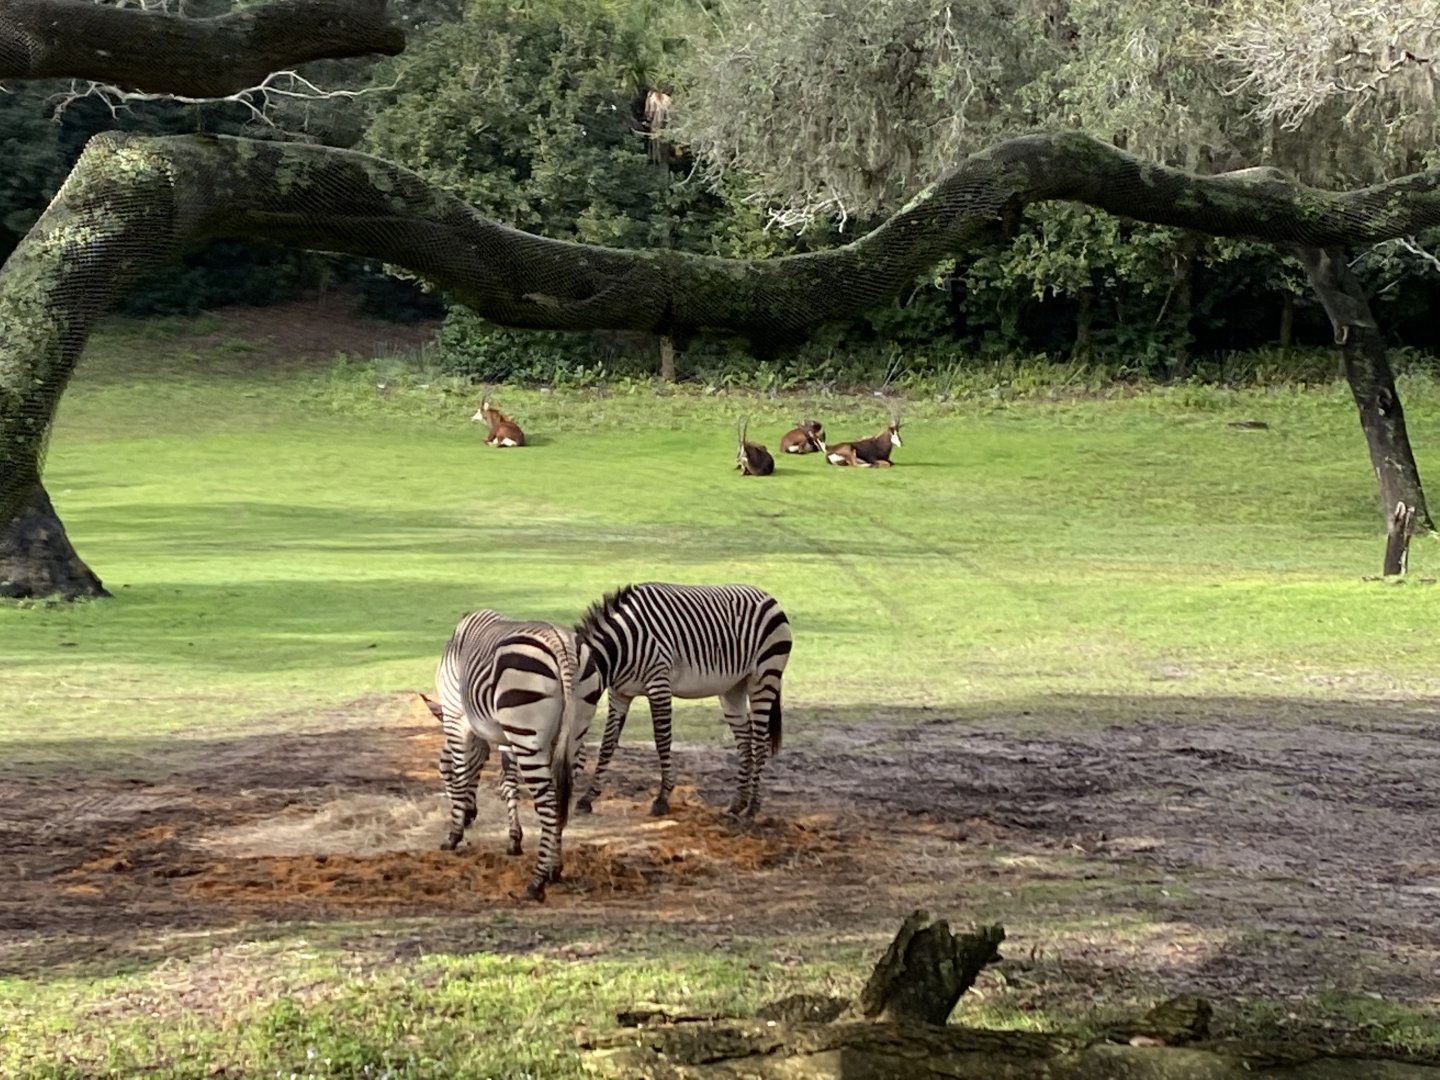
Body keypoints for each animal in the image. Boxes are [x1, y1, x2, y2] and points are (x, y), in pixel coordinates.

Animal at [419, 609, 603, 901]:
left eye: (442, 773)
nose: (471, 817)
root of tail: (561, 645)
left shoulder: (456, 719)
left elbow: (461, 776)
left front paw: (454, 835)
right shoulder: (507, 736)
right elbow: (509, 784)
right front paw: (514, 840)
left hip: (528, 735)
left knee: (548, 803)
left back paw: (537, 882)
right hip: (573, 736)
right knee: (561, 799)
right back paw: (554, 869)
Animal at [572, 582, 792, 819]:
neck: (622, 645)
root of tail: (768, 596)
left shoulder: (659, 684)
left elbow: (662, 741)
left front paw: (662, 799)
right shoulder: (620, 695)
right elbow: (607, 744)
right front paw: (587, 798)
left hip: (764, 677)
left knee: (760, 742)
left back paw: (752, 808)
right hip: (734, 688)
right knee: (745, 740)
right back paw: (737, 804)